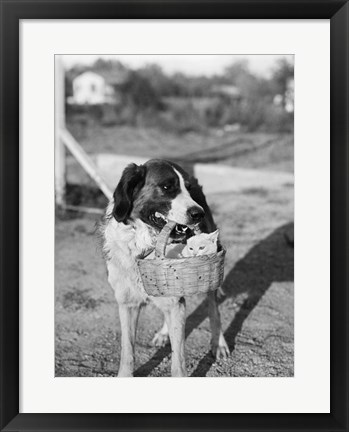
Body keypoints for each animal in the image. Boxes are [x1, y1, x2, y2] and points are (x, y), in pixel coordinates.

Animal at [100, 160, 228, 376]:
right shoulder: (127, 303)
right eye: (167, 187)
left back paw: (218, 343)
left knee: (213, 308)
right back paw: (163, 333)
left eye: (188, 188)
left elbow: (178, 361)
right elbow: (127, 351)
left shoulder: (174, 302)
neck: (144, 244)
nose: (198, 213)